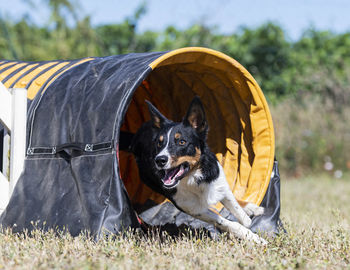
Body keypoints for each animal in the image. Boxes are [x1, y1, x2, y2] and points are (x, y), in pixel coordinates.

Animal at [130, 96, 266, 245]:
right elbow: (226, 221)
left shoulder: (218, 179)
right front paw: (253, 237)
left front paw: (249, 223)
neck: (194, 176)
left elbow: (238, 211)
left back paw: (252, 207)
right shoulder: (192, 208)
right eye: (159, 143)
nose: (159, 160)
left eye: (182, 142)